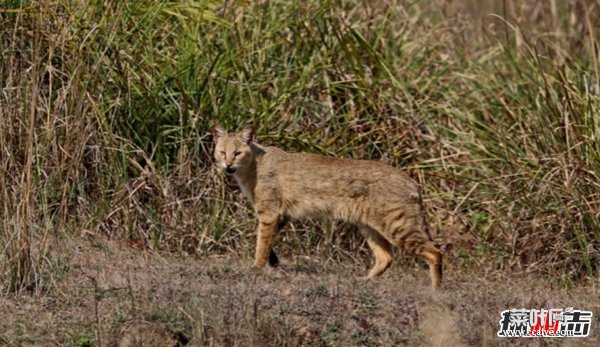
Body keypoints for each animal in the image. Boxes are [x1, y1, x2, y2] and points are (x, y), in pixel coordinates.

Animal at [211, 123, 440, 290]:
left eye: (237, 153)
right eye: (222, 152)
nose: (228, 166)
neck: (254, 166)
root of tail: (412, 181)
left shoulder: (269, 212)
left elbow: (261, 242)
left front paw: (257, 267)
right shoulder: (280, 215)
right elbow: (268, 242)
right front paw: (272, 262)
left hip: (398, 227)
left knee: (435, 253)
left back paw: (436, 289)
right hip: (370, 228)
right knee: (386, 257)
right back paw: (365, 281)